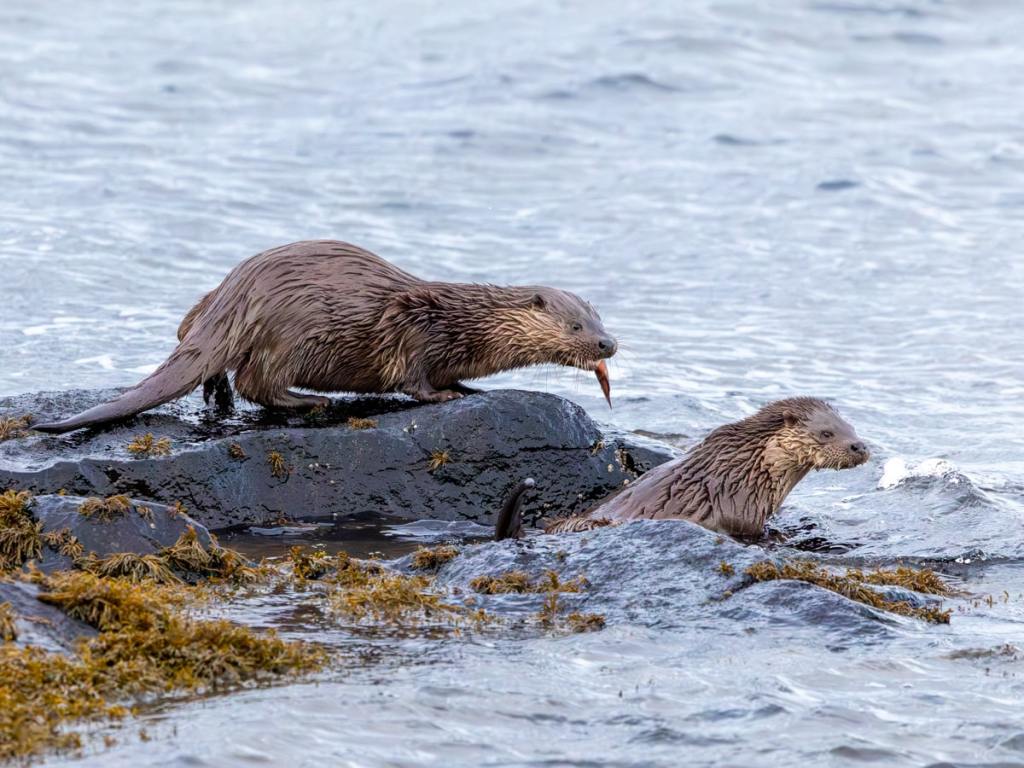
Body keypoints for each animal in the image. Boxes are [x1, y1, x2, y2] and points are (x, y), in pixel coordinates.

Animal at [35, 240, 616, 434]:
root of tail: (237, 294)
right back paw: (309, 401)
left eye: (601, 320)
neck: (466, 323)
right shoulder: (415, 325)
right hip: (291, 333)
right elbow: (413, 377)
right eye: (576, 326)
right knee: (258, 382)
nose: (608, 345)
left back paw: (216, 393)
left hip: (207, 305)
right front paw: (446, 395)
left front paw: (468, 387)